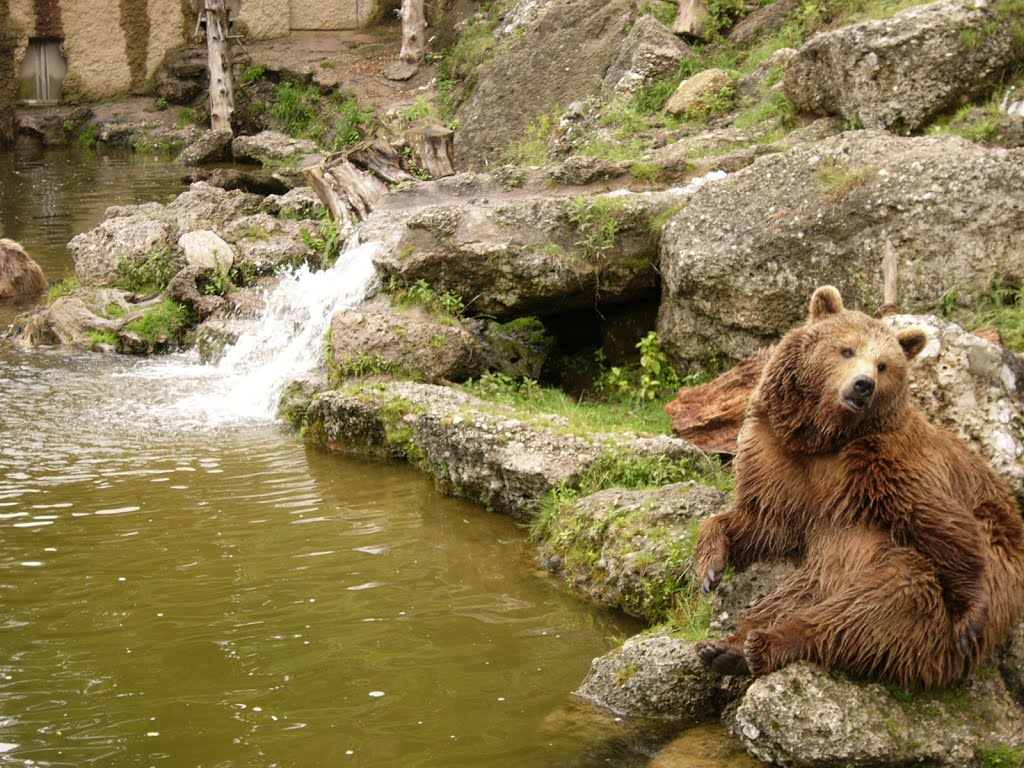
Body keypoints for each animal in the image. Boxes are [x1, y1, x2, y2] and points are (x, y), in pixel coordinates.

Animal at [696, 284, 1024, 692]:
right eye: (847, 349)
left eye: (884, 365)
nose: (863, 385)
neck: (825, 438)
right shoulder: (780, 458)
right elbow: (765, 521)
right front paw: (710, 568)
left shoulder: (885, 461)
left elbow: (938, 518)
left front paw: (972, 612)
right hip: (819, 575)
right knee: (792, 596)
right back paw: (726, 646)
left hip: (931, 591)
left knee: (875, 605)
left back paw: (765, 644)